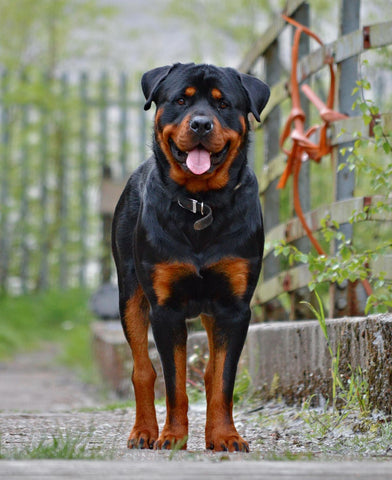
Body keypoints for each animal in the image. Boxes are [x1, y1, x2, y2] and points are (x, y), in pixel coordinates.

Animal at [112, 62, 268, 452]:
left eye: (223, 103)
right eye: (181, 100)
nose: (200, 124)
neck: (201, 205)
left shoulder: (233, 307)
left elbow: (223, 380)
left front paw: (225, 436)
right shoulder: (165, 309)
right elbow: (174, 383)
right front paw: (172, 437)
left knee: (212, 371)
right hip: (129, 293)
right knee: (142, 369)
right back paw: (144, 432)